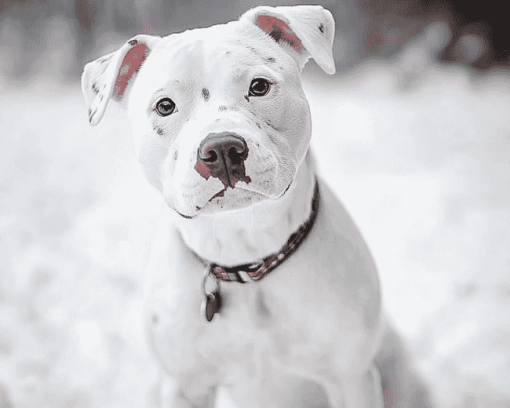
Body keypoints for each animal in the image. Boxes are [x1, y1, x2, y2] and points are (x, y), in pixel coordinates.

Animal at [81, 6, 432, 408]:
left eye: (259, 86)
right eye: (165, 106)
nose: (221, 149)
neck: (246, 257)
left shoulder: (351, 379)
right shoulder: (185, 386)